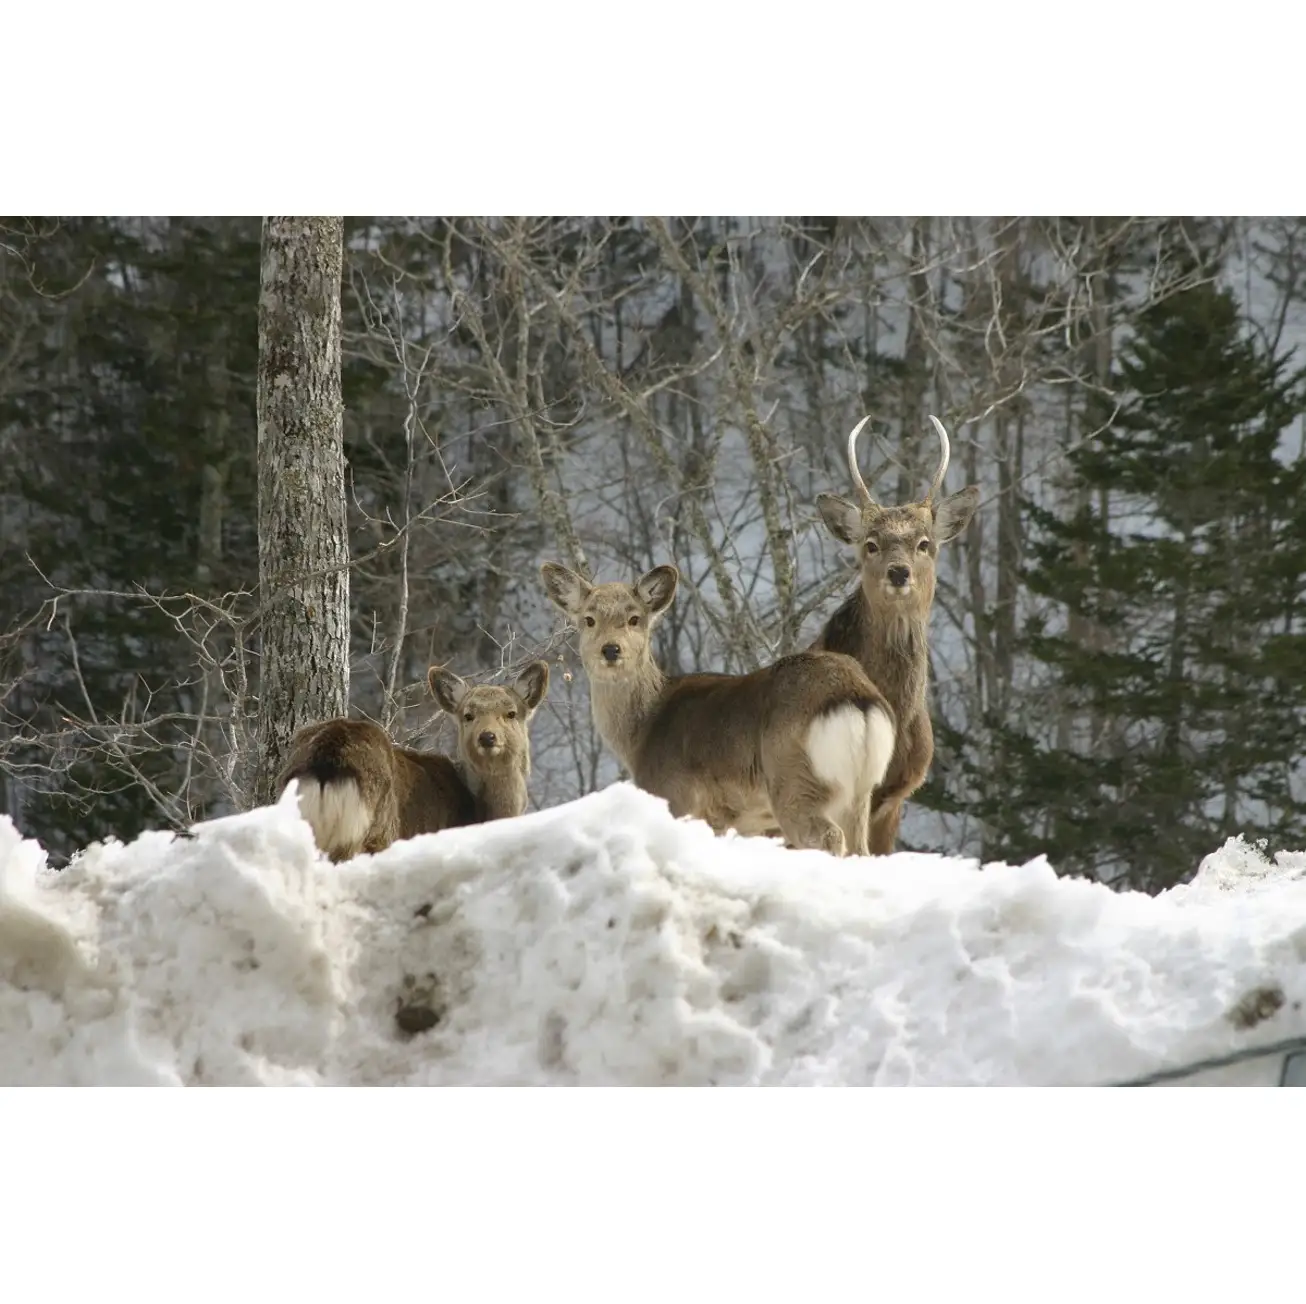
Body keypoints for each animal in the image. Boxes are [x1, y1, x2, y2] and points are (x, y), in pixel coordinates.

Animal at [277, 660, 550, 862]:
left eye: (511, 713)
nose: (487, 737)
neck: (481, 813)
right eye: (468, 715)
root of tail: (327, 759)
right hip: (369, 836)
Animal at [540, 560, 896, 858]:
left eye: (634, 619)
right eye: (588, 619)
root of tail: (857, 698)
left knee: (828, 837)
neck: (641, 735)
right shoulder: (724, 818)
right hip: (860, 793)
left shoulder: (676, 797)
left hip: (795, 777)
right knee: (862, 849)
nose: (611, 649)